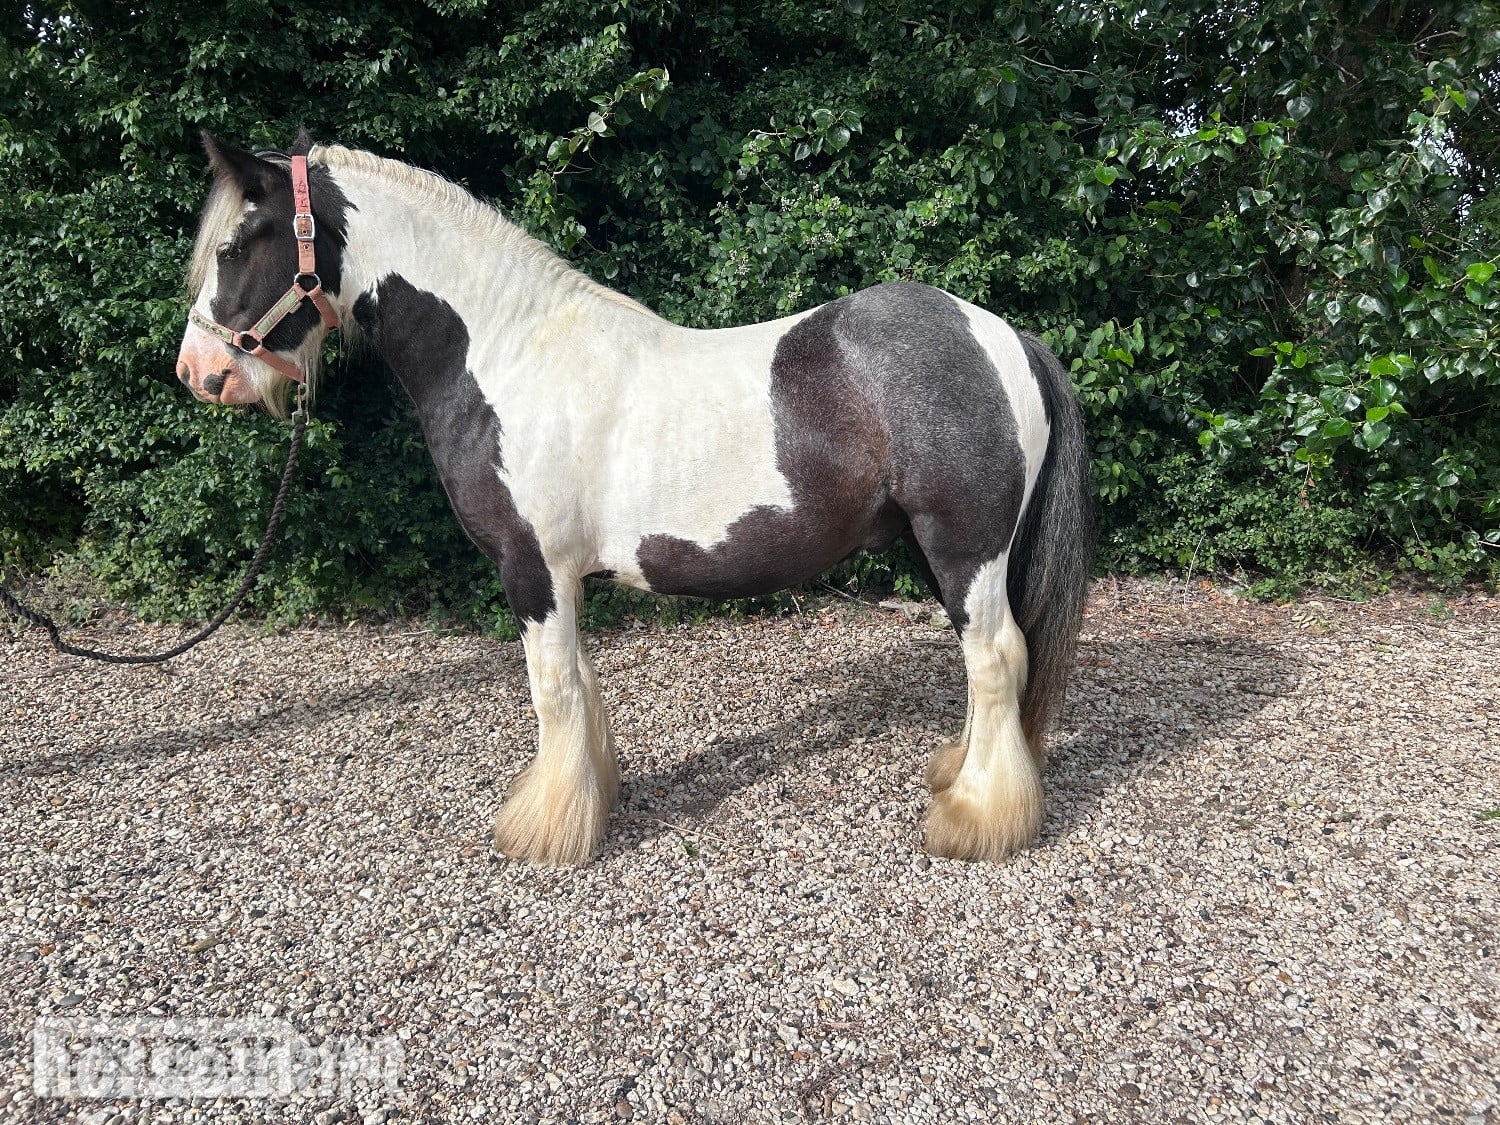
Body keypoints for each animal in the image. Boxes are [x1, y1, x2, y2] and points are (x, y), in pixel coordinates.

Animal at [175, 132, 1096, 867]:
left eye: (238, 242)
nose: (200, 371)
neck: (507, 352)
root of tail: (1001, 334)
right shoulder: (560, 577)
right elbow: (578, 684)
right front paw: (590, 798)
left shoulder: (531, 570)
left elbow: (551, 689)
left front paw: (544, 830)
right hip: (941, 552)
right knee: (989, 661)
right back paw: (958, 773)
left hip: (962, 548)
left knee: (996, 657)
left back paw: (975, 819)